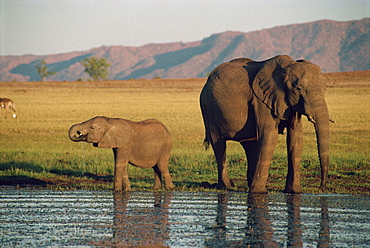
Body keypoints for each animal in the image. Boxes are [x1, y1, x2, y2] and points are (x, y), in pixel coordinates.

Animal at [201, 55, 330, 193]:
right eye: (299, 89)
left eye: (324, 89)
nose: (321, 188)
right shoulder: (261, 100)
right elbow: (269, 135)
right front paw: (259, 192)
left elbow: (296, 138)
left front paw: (294, 192)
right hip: (208, 108)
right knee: (219, 144)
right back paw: (226, 187)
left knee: (249, 145)